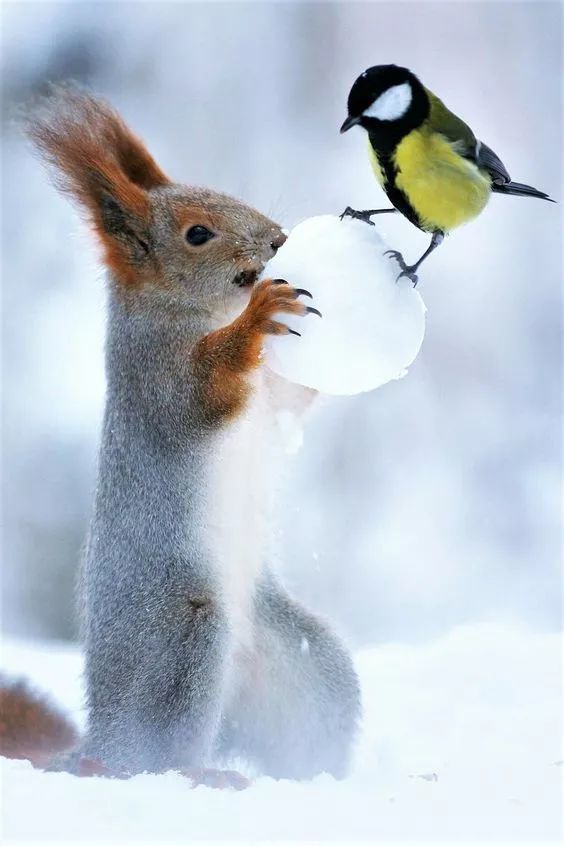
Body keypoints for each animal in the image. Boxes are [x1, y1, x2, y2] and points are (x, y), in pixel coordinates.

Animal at [0, 88, 360, 788]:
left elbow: (295, 396)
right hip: (182, 640)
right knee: (155, 757)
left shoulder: (273, 393)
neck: (196, 313)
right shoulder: (155, 378)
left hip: (304, 665)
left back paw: (313, 776)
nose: (278, 240)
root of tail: (100, 739)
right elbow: (200, 395)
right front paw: (259, 317)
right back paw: (199, 774)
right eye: (197, 234)